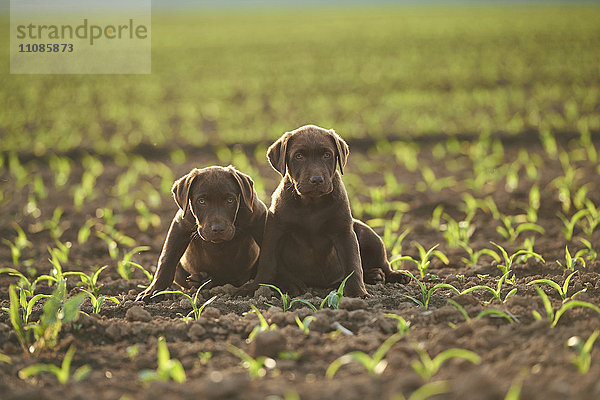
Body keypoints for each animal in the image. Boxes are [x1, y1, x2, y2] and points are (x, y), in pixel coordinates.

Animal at [137, 165, 268, 300]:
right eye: (201, 201)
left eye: (230, 200)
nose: (218, 229)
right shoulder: (179, 226)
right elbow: (166, 260)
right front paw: (153, 291)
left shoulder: (259, 217)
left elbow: (268, 258)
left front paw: (255, 288)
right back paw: (201, 280)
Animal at [237, 125, 410, 296]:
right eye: (299, 156)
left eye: (327, 155)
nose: (316, 180)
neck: (311, 204)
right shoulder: (275, 230)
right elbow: (267, 263)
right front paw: (255, 288)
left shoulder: (344, 232)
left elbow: (353, 264)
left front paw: (357, 294)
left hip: (368, 234)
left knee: (384, 263)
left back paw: (393, 275)